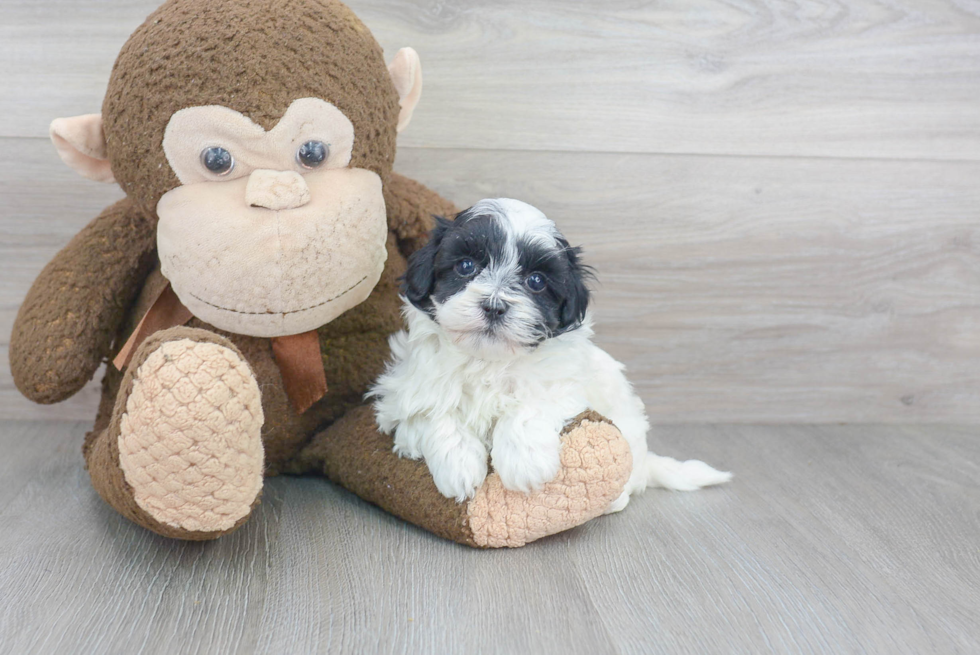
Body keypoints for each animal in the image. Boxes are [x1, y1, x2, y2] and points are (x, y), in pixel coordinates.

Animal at [368, 197, 728, 510]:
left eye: (537, 281)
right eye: (466, 265)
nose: (494, 306)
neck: (488, 361)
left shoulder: (564, 381)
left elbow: (529, 405)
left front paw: (524, 463)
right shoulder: (407, 384)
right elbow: (435, 411)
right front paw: (458, 467)